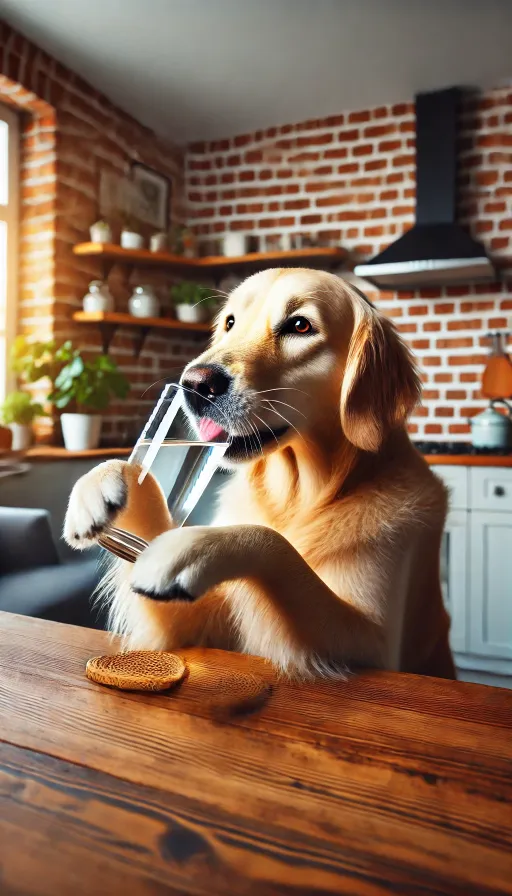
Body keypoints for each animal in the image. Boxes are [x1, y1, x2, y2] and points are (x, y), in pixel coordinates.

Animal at [65, 272, 456, 680]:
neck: (301, 494)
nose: (195, 384)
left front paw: (191, 546)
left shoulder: (374, 644)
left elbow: (271, 540)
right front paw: (102, 483)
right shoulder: (194, 623)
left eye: (300, 325)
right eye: (230, 322)